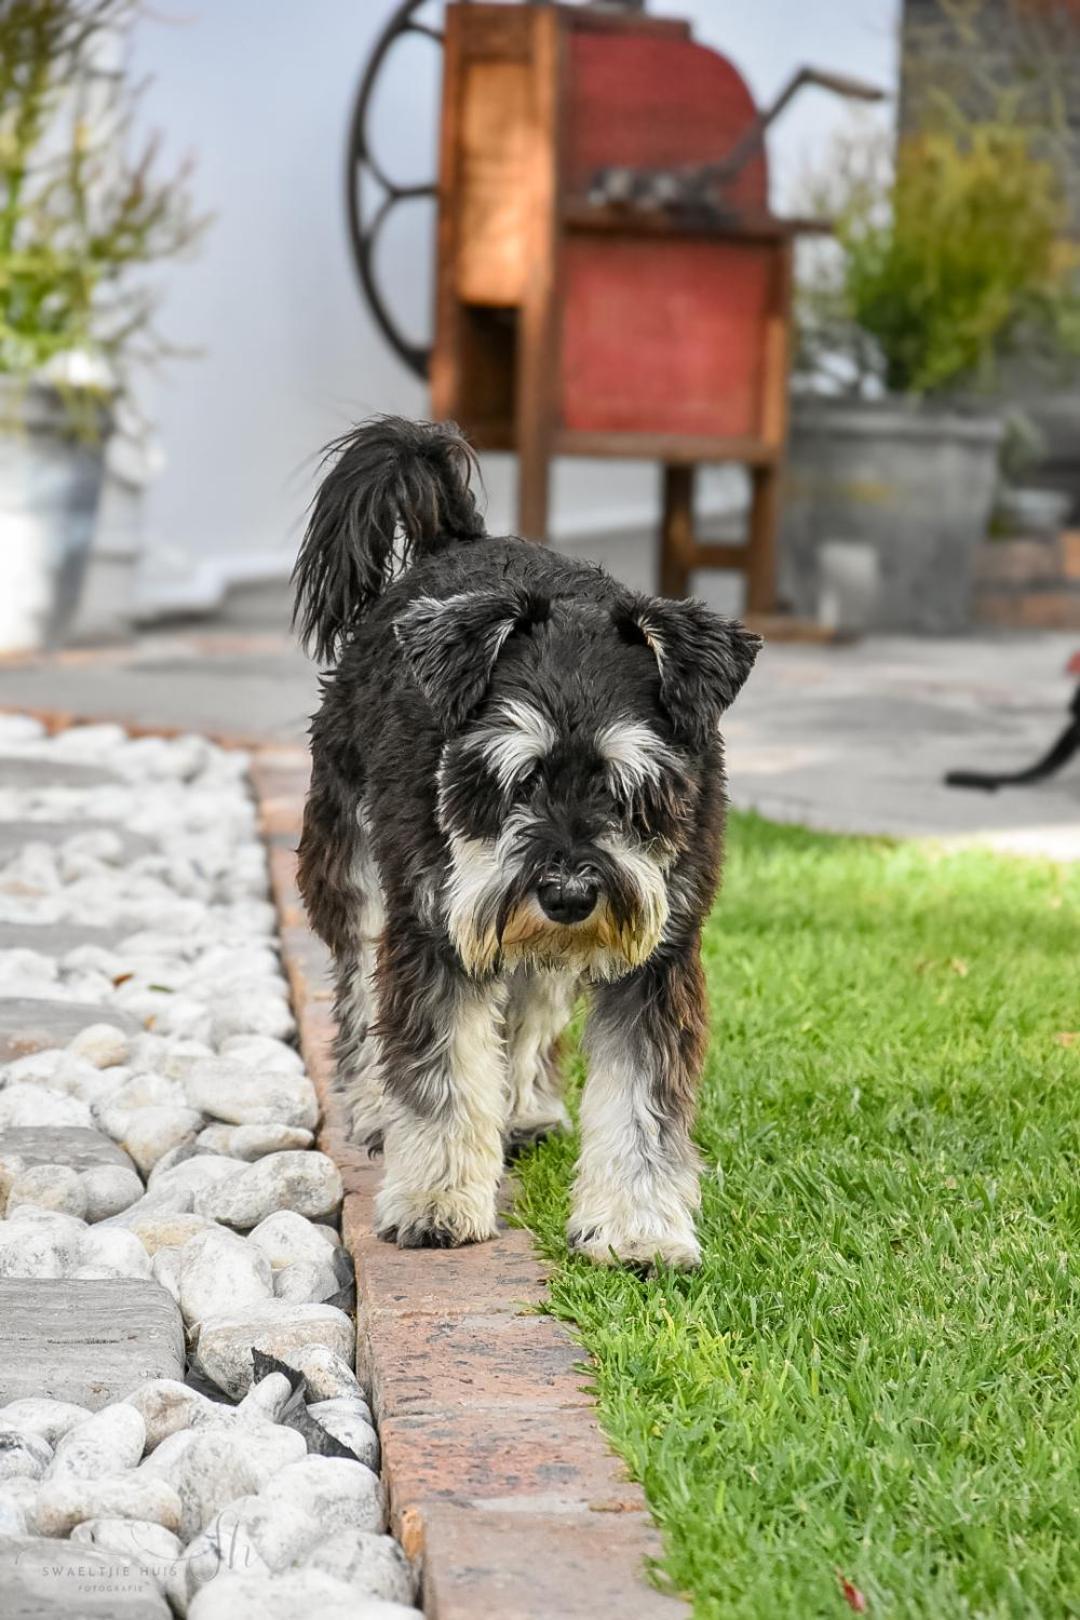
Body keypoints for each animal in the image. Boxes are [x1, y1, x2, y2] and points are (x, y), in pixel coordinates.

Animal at [291, 414, 757, 1263]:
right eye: (519, 776)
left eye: (627, 784)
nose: (569, 894)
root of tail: (450, 543)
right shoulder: (435, 929)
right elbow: (442, 1069)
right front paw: (437, 1198)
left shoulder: (661, 953)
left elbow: (639, 1098)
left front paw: (636, 1226)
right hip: (358, 869)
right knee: (362, 989)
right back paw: (374, 1103)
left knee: (531, 1002)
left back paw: (523, 1108)